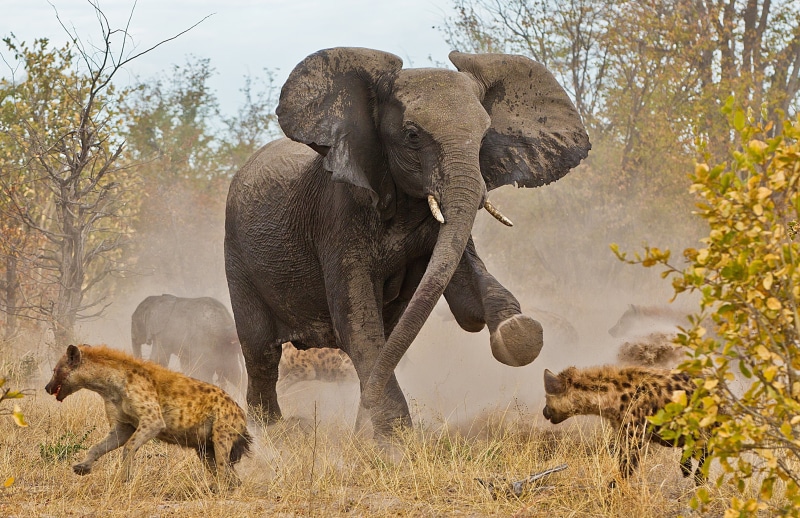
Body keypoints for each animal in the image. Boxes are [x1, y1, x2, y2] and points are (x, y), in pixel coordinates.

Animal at [224, 47, 590, 437]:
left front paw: (518, 331)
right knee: (261, 350)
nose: (357, 429)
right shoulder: (338, 213)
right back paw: (271, 429)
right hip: (237, 255)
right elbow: (356, 320)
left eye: (484, 137)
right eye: (412, 135)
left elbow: (465, 297)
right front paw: (392, 439)